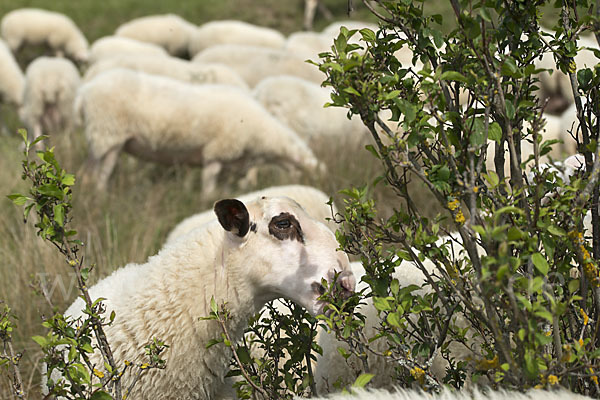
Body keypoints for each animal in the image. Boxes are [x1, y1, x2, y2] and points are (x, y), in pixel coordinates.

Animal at [75, 69, 324, 192]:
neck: (262, 133)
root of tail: (85, 93)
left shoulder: (231, 163)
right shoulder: (217, 151)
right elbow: (209, 185)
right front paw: (205, 200)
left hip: (100, 138)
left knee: (85, 174)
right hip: (108, 134)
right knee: (100, 175)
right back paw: (101, 197)